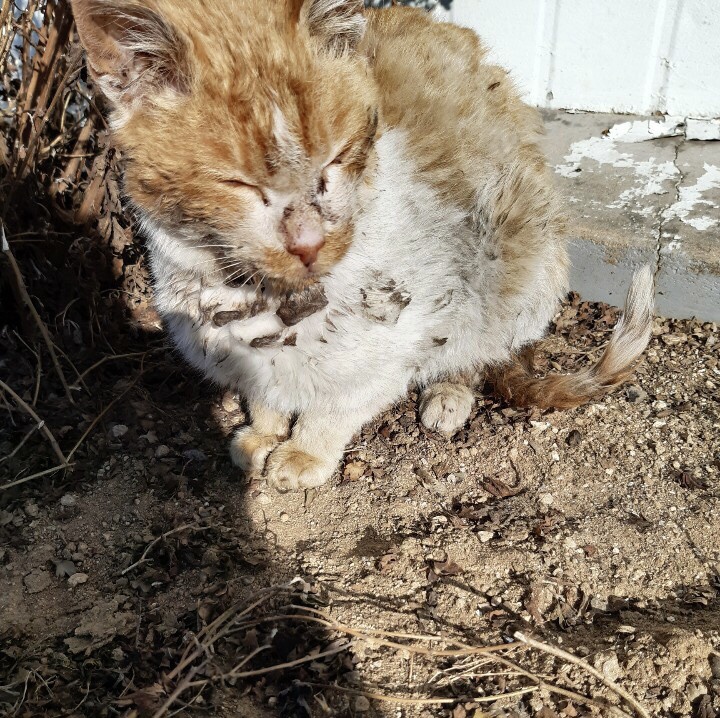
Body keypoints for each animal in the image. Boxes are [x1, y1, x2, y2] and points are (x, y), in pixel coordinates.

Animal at [71, 0, 652, 492]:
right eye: (238, 184)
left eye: (335, 159)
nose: (309, 242)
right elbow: (264, 391)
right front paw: (262, 432)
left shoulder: (406, 332)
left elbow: (340, 403)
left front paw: (303, 453)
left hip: (515, 250)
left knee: (482, 347)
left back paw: (448, 392)